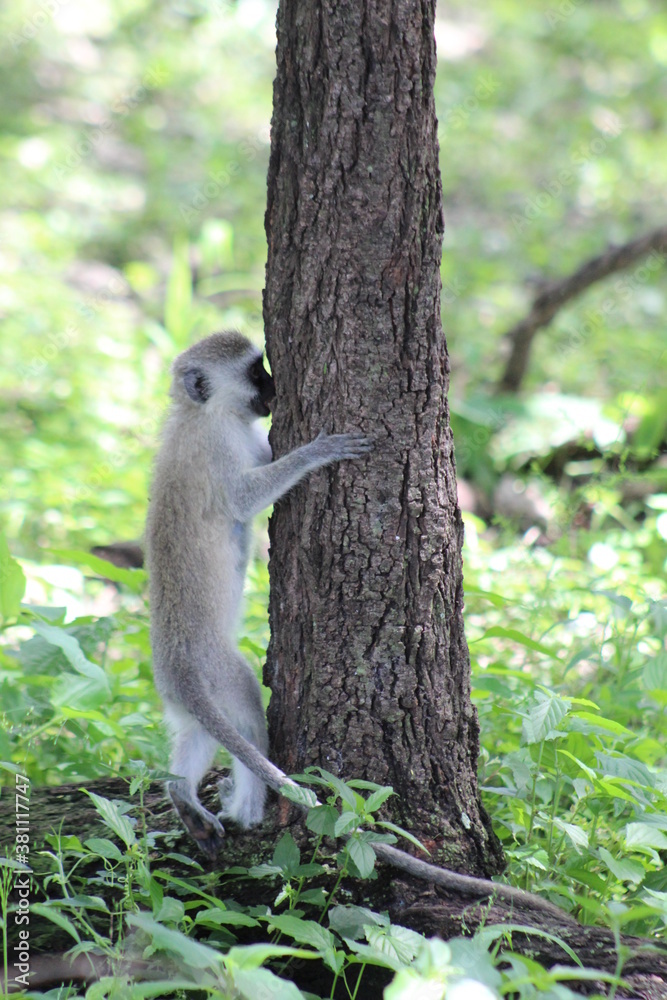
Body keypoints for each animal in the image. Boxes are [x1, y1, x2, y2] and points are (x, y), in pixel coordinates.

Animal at [146, 330, 569, 924]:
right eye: (255, 373)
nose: (274, 390)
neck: (199, 414)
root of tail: (178, 667)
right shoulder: (219, 451)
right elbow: (246, 498)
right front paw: (315, 452)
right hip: (219, 671)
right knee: (249, 722)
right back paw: (249, 809)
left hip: (182, 698)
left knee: (195, 735)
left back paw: (182, 796)